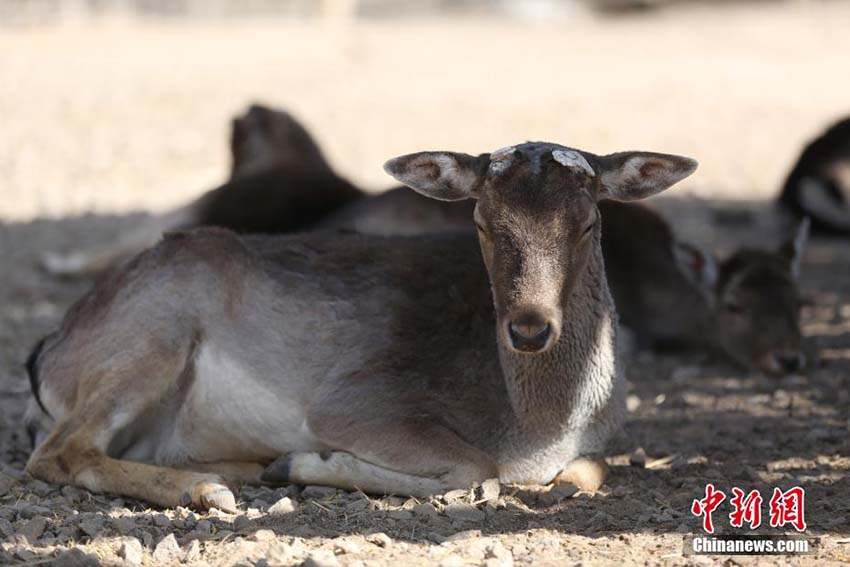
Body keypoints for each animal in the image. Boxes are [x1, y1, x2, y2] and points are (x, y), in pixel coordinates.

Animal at [23, 142, 696, 510]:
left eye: (587, 223)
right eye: (480, 222)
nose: (528, 329)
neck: (539, 430)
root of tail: (45, 356)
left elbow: (590, 471)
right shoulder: (357, 403)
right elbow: (478, 471)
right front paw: (303, 463)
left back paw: (235, 468)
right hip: (152, 334)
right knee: (58, 453)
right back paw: (210, 489)